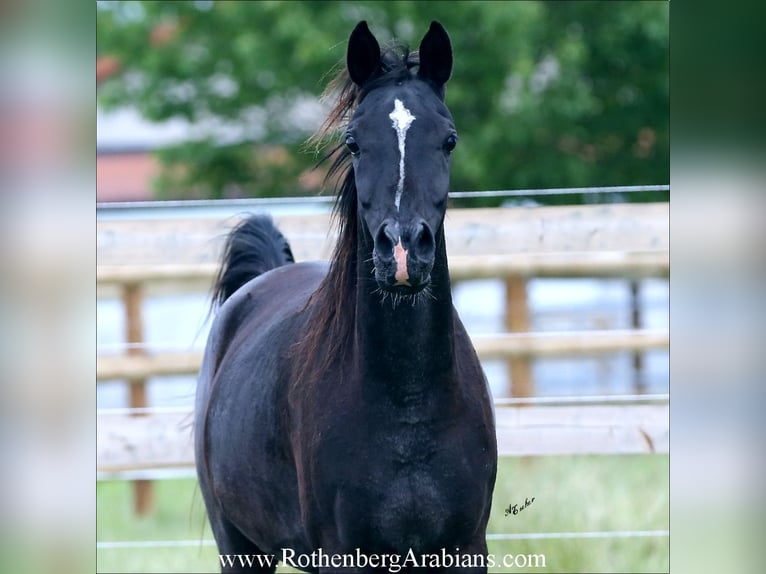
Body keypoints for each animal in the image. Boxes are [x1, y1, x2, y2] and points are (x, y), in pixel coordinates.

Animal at [195, 20, 500, 572]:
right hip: (239, 547)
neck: (408, 405)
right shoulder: (343, 553)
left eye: (449, 140)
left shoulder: (465, 549)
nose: (402, 251)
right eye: (354, 142)